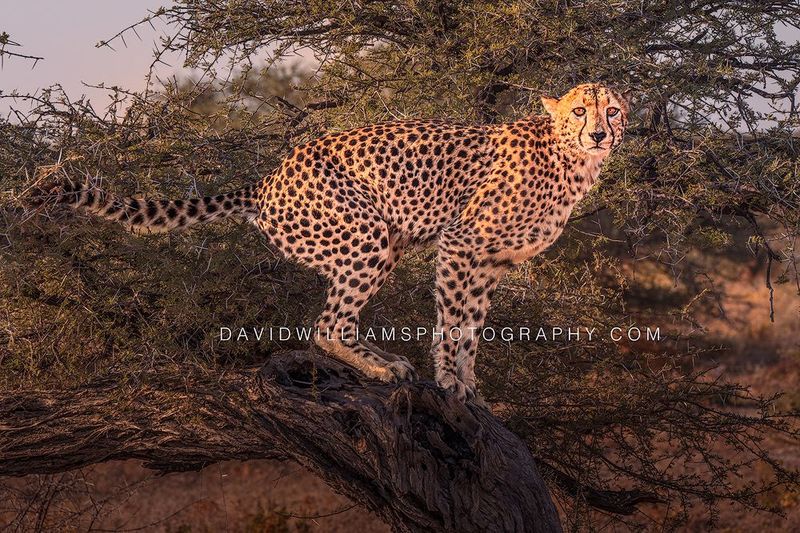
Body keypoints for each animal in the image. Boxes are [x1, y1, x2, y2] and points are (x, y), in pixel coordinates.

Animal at [27, 83, 630, 402]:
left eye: (613, 111)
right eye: (580, 110)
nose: (601, 132)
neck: (572, 160)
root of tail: (269, 177)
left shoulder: (491, 263)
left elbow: (473, 330)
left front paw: (471, 386)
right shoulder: (460, 246)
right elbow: (453, 325)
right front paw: (450, 382)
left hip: (377, 241)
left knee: (339, 321)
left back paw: (385, 360)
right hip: (369, 235)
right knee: (326, 326)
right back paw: (381, 369)